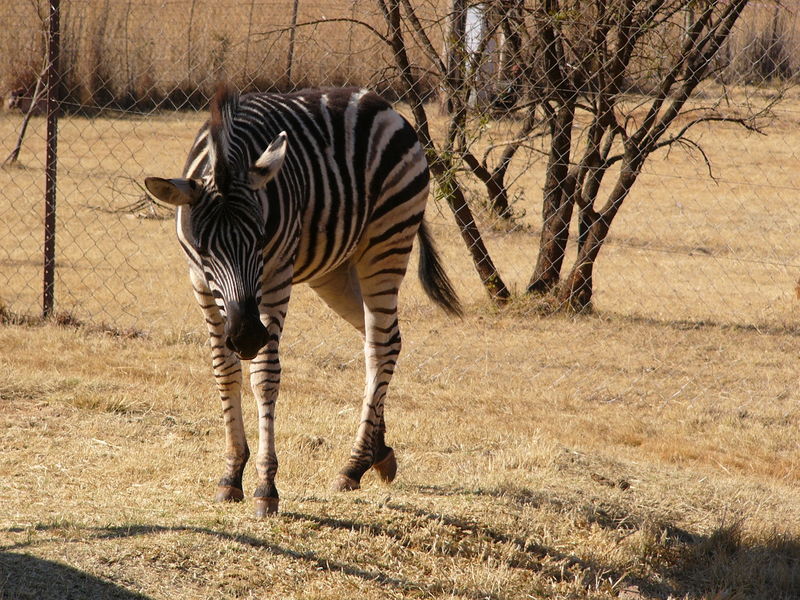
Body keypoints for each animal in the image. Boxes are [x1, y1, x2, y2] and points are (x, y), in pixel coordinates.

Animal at [141, 83, 460, 516]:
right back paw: (377, 452)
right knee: (384, 340)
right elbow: (224, 371)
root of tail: (381, 104)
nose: (246, 337)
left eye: (260, 238)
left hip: (387, 240)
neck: (226, 155)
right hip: (335, 272)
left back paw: (353, 464)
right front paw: (231, 474)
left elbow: (264, 375)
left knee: (380, 346)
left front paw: (265, 486)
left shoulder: (276, 276)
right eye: (204, 249)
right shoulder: (199, 282)